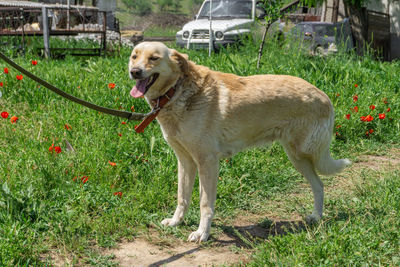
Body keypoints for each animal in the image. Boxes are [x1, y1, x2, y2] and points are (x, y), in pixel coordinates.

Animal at [129, 41, 350, 243]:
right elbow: (182, 197)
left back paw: (317, 217)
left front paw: (202, 233)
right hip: (297, 158)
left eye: (154, 58)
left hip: (306, 152)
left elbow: (205, 205)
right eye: (134, 56)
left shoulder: (208, 162)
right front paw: (176, 222)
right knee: (319, 185)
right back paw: (316, 217)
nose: (134, 72)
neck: (176, 92)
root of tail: (323, 95)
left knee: (319, 182)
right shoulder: (185, 162)